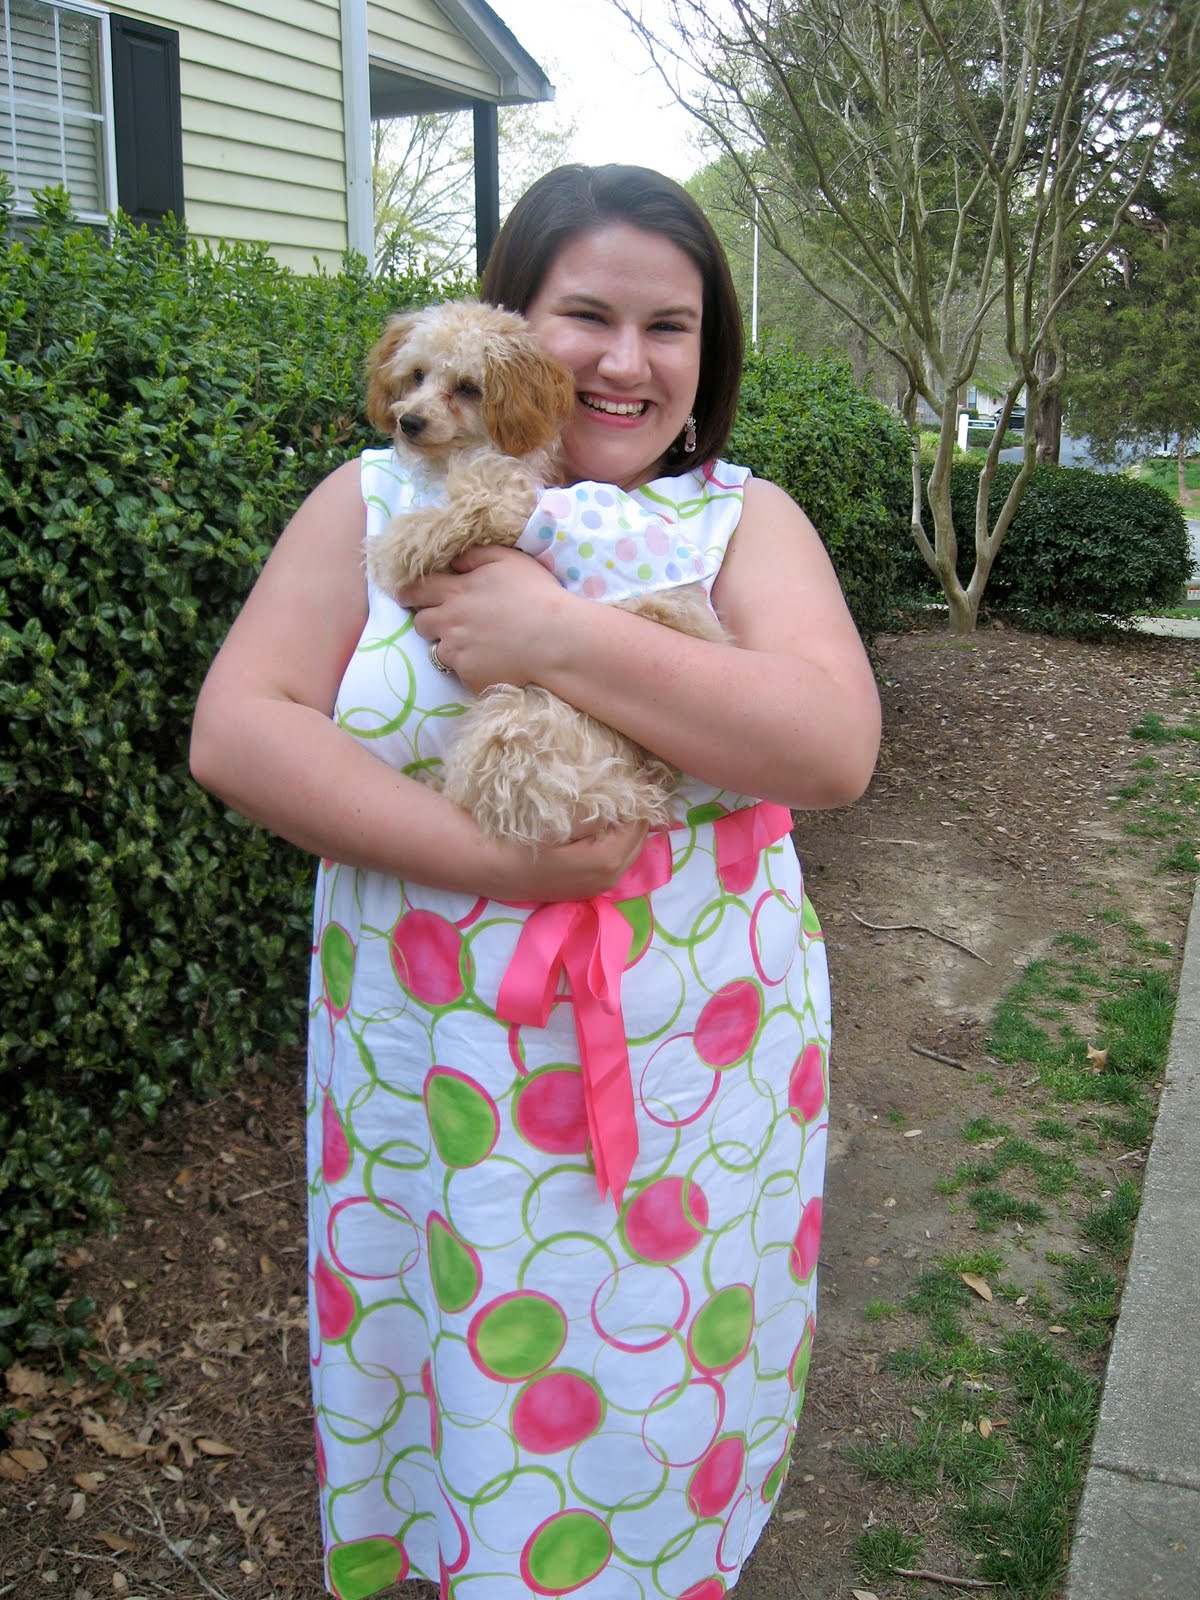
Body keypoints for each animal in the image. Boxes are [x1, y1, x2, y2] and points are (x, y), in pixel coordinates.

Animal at [364, 299, 729, 848]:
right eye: (416, 375)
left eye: (468, 387)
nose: (409, 420)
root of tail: (633, 785)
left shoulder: (497, 504)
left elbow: (421, 531)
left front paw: (386, 552)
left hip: (521, 722)